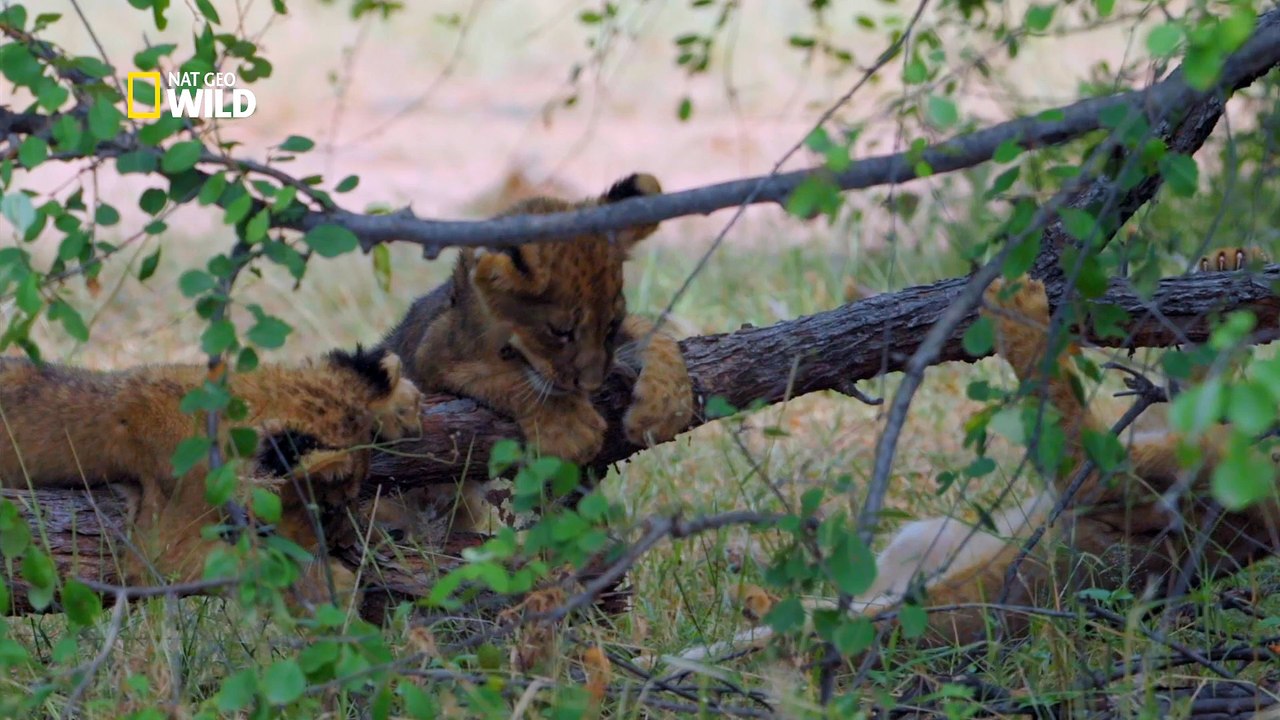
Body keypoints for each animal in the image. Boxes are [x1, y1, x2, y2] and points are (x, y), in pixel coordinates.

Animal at [0, 346, 422, 607]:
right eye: (330, 508)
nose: (343, 546)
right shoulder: (157, 548)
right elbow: (254, 562)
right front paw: (337, 587)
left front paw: (404, 405)